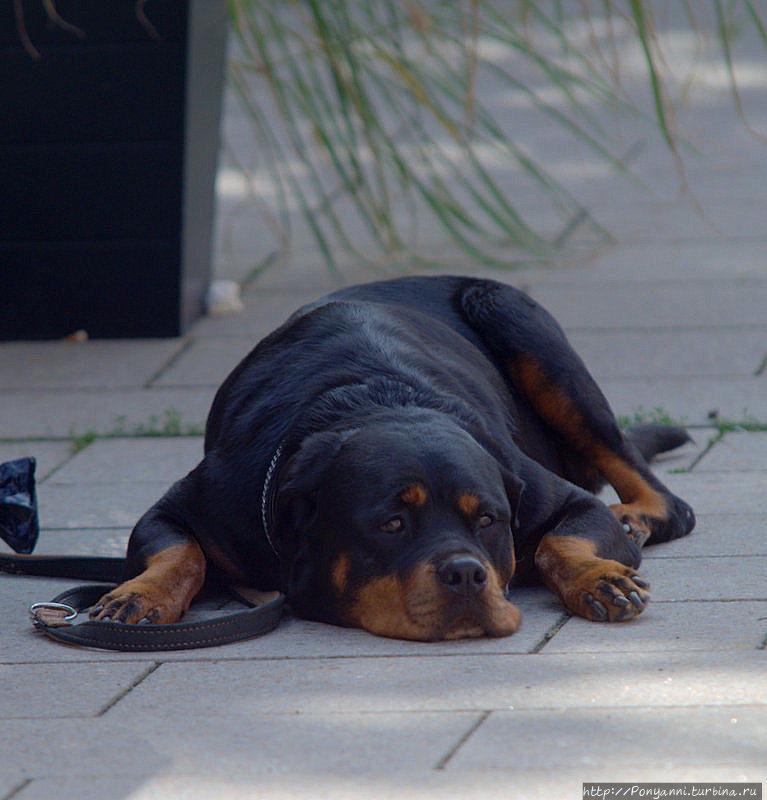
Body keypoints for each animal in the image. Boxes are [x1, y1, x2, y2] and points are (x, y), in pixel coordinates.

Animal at [90, 278, 696, 640]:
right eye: (392, 524)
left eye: (488, 521)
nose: (466, 574)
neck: (377, 400)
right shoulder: (204, 501)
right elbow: (180, 552)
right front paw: (140, 596)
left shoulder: (543, 489)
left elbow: (560, 539)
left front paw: (600, 576)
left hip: (515, 318)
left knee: (665, 498)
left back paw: (635, 518)